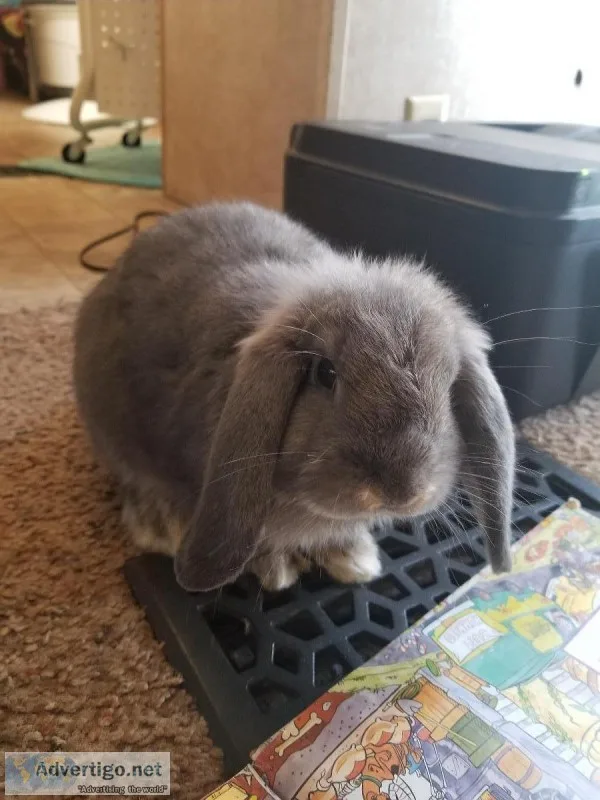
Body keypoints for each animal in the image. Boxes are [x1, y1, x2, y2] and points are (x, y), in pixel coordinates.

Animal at [73, 201, 515, 593]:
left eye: (449, 384)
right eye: (324, 373)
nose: (402, 492)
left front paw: (354, 559)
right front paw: (278, 569)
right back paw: (161, 526)